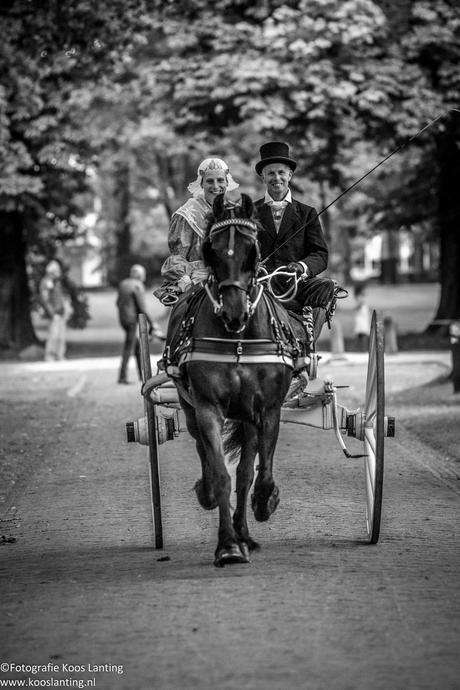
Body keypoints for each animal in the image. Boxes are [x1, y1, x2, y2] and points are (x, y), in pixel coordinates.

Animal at [164, 192, 304, 564]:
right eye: (211, 250)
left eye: (252, 249)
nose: (234, 311)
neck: (239, 337)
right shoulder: (208, 407)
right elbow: (222, 475)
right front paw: (227, 545)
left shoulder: (266, 409)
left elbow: (256, 472)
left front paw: (265, 502)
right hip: (190, 406)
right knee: (203, 451)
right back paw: (210, 497)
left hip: (246, 416)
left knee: (245, 470)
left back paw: (246, 531)